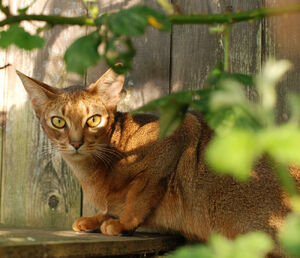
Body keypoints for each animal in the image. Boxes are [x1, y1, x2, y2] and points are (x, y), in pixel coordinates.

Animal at [17, 68, 300, 256]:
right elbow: (111, 205)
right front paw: (96, 219)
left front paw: (121, 224)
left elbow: (138, 197)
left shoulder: (173, 138)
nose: (76, 143)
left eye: (94, 120)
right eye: (58, 122)